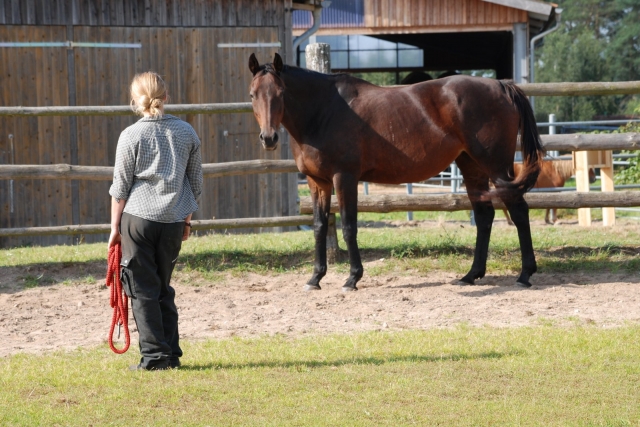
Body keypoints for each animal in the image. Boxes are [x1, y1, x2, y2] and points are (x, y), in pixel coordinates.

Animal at [248, 53, 544, 291]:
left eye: (281, 93)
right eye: (253, 94)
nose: (269, 138)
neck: (323, 112)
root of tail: (501, 85)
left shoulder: (345, 178)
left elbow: (349, 227)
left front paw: (352, 278)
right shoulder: (317, 181)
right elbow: (320, 227)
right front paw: (315, 278)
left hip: (497, 167)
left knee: (518, 211)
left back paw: (524, 275)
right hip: (472, 167)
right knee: (484, 216)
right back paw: (471, 275)